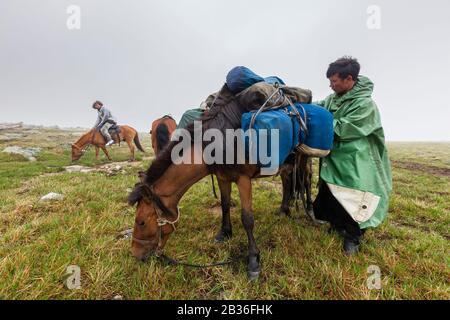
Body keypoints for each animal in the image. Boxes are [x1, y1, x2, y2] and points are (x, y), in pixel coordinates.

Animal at [128, 84, 314, 280]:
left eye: (141, 222)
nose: (135, 254)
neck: (220, 142)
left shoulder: (243, 179)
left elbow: (247, 218)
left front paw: (253, 260)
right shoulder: (222, 177)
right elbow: (225, 205)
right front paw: (224, 233)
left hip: (305, 159)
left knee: (307, 182)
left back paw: (309, 209)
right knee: (287, 182)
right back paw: (284, 210)